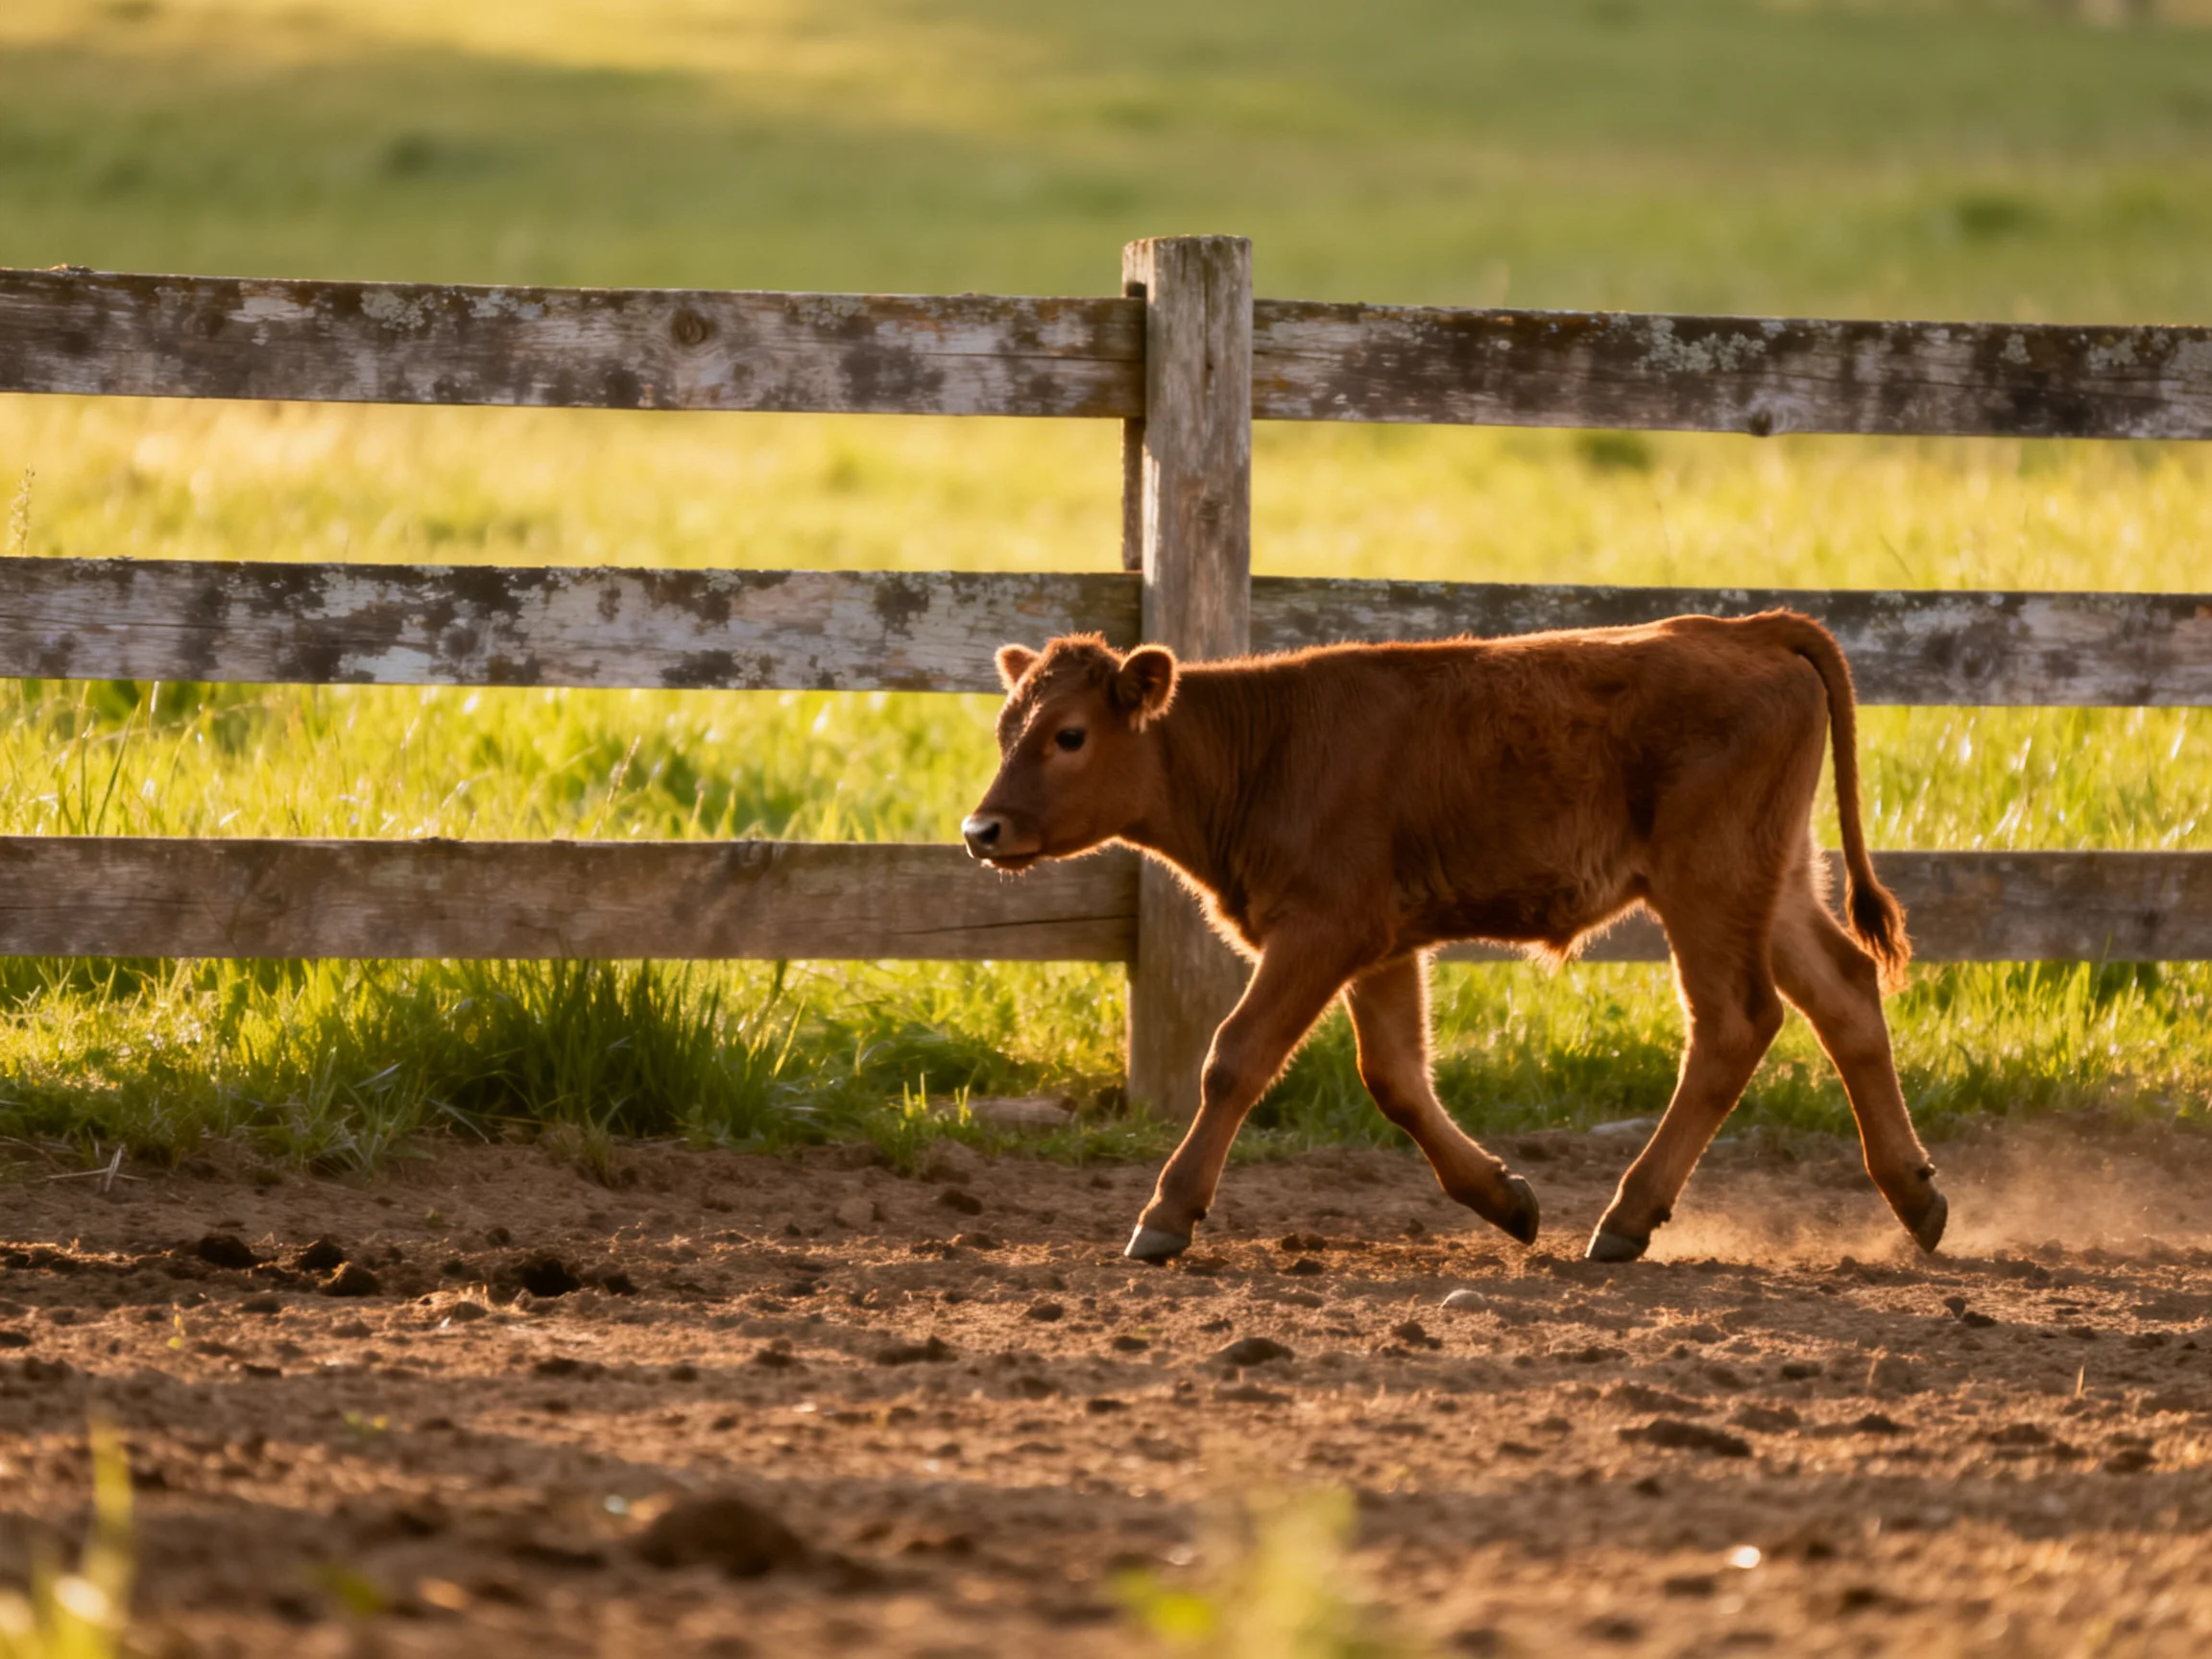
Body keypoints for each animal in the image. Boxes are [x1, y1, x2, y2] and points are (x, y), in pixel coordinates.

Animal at [960, 612, 1948, 1266]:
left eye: (1070, 735)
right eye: (1006, 728)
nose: (981, 830)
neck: (1268, 748)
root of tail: (1750, 628)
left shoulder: (1321, 928)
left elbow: (1235, 1058)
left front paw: (1166, 1214)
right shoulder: (1383, 944)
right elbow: (1396, 1077)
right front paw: (1503, 1198)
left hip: (1709, 883)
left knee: (1735, 1026)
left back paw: (1628, 1216)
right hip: (1770, 883)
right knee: (1845, 994)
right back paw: (1914, 1195)